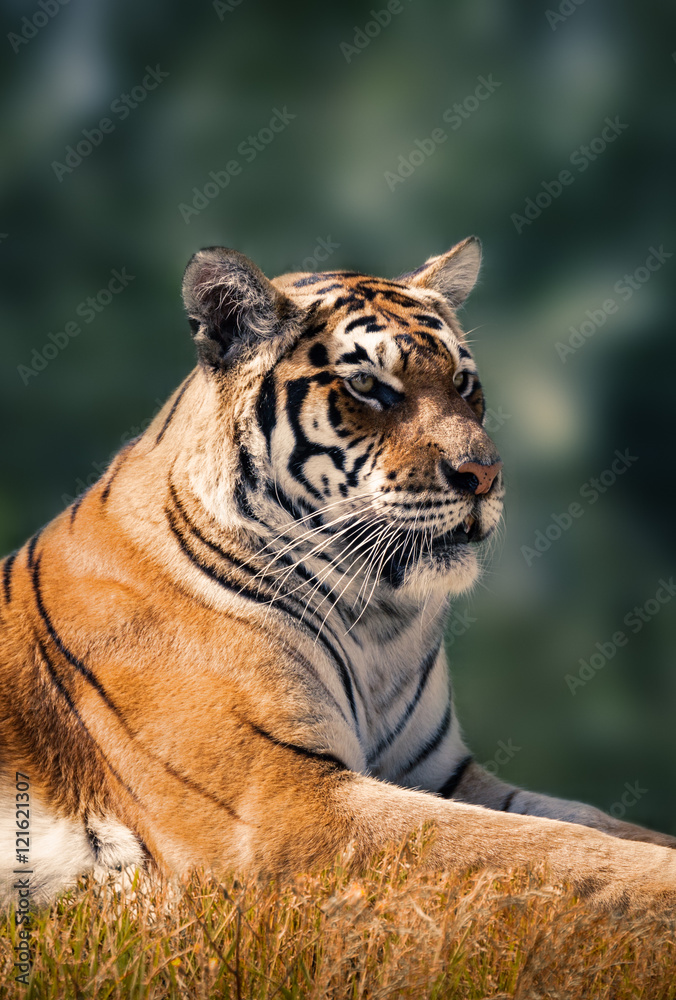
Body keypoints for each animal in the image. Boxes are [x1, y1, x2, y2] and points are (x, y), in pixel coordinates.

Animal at [2, 236, 675, 910]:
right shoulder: (281, 798)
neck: (377, 619)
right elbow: (540, 847)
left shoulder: (441, 773)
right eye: (368, 385)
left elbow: (589, 819)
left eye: (463, 381)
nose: (484, 475)